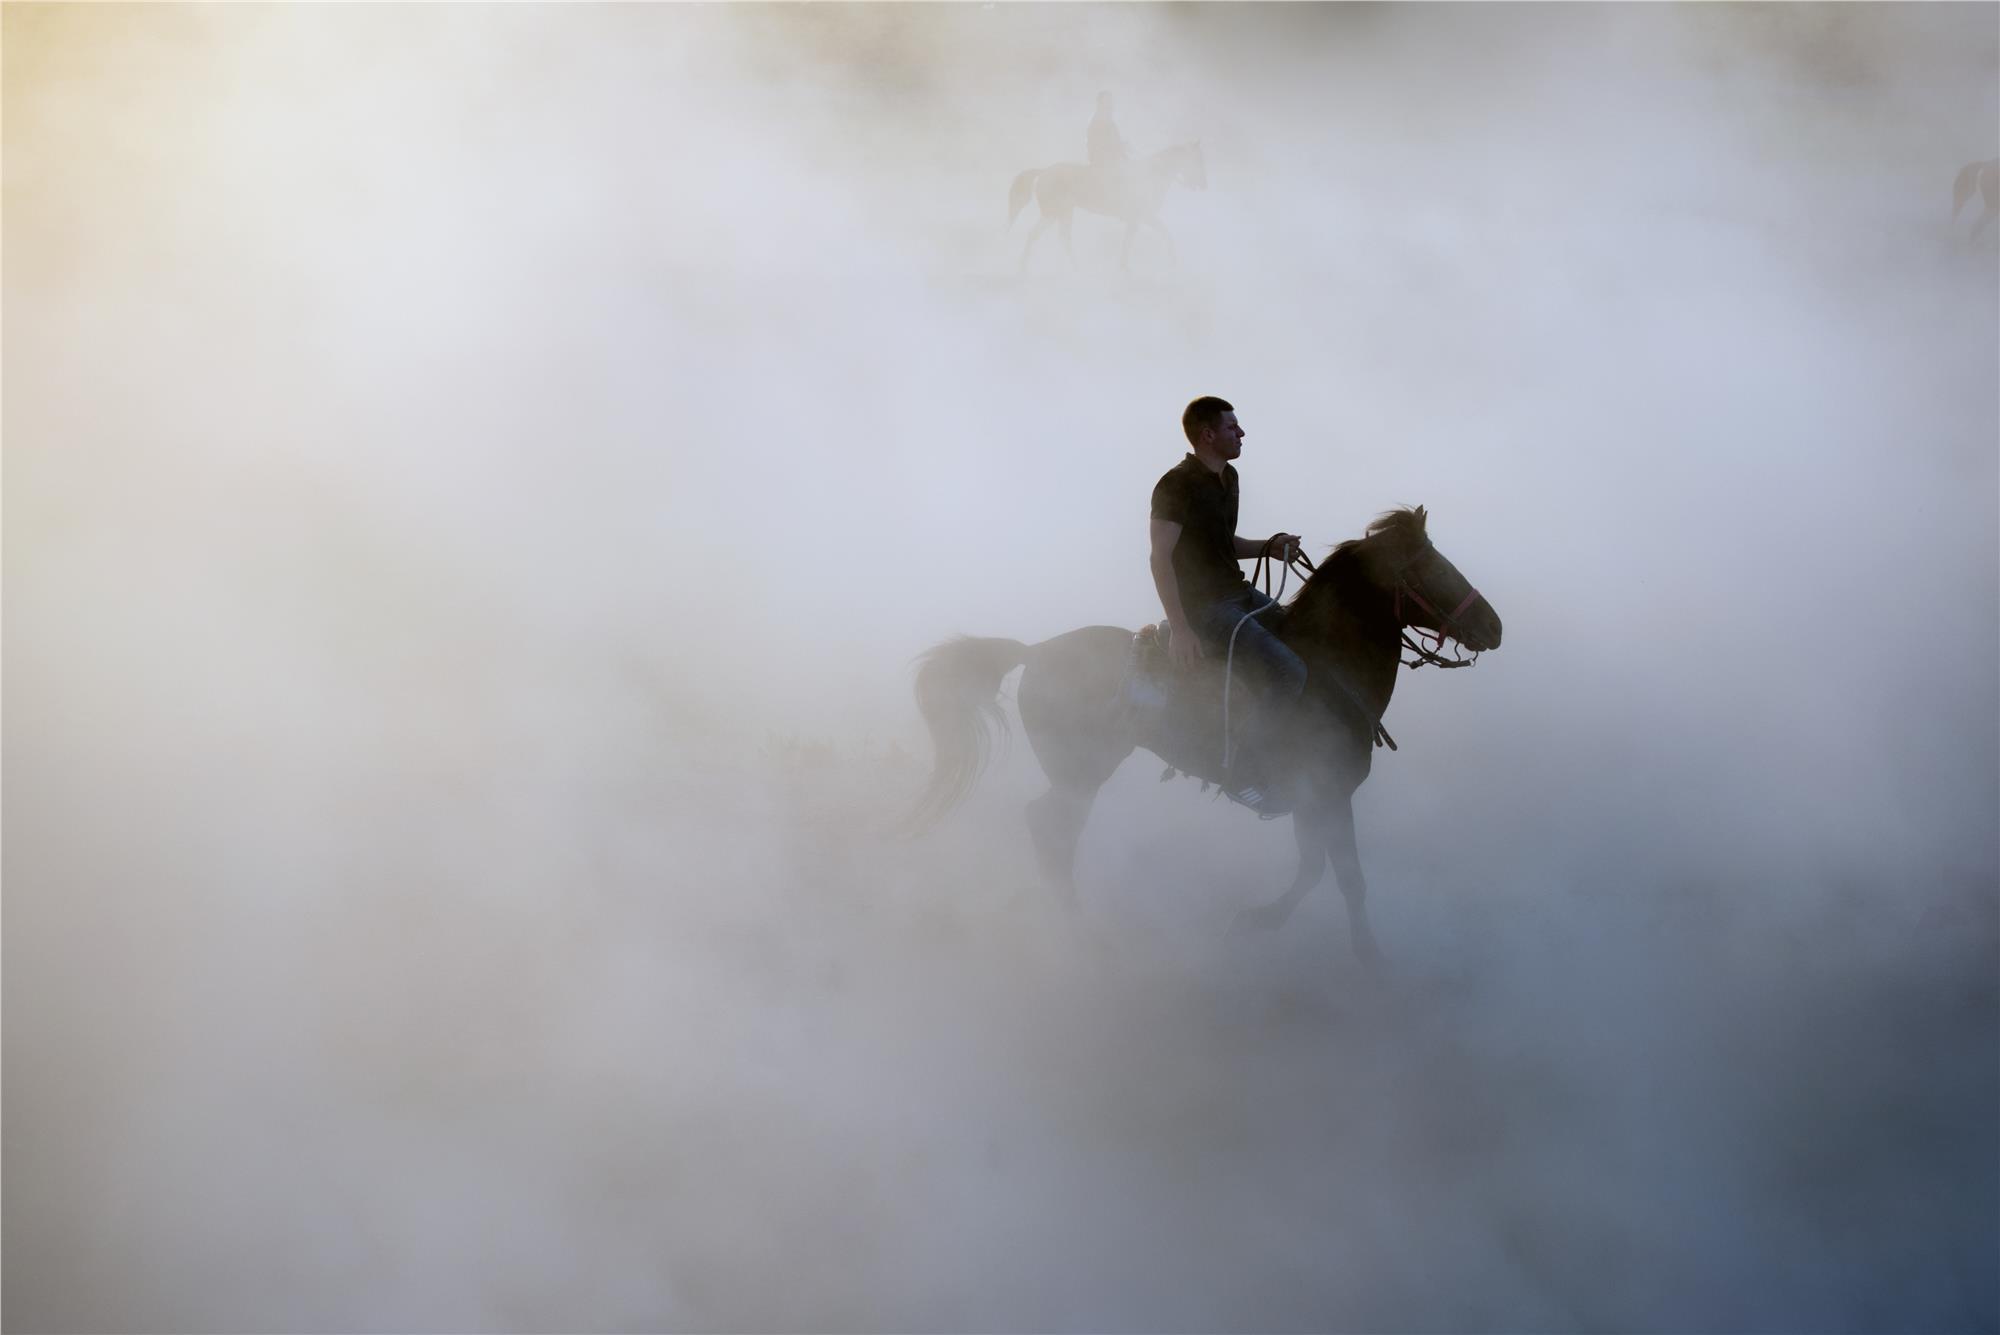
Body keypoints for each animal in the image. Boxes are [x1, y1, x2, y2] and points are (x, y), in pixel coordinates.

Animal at [908, 505, 1504, 963]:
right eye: (1434, 567)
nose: (1494, 627)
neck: (1330, 667)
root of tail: (1035, 652)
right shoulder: (1325, 794)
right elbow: (1344, 878)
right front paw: (1366, 958)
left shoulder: (1319, 800)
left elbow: (1315, 869)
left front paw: (1260, 921)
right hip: (1082, 772)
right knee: (1051, 831)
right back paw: (1084, 935)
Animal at [1008, 140, 1208, 273]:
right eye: (1197, 160)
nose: (1202, 184)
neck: (1150, 176)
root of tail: (1044, 172)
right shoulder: (1141, 218)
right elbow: (1157, 235)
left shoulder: (1140, 219)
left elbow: (1151, 236)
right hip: (1056, 212)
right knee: (1052, 237)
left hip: (1061, 213)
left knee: (1048, 236)